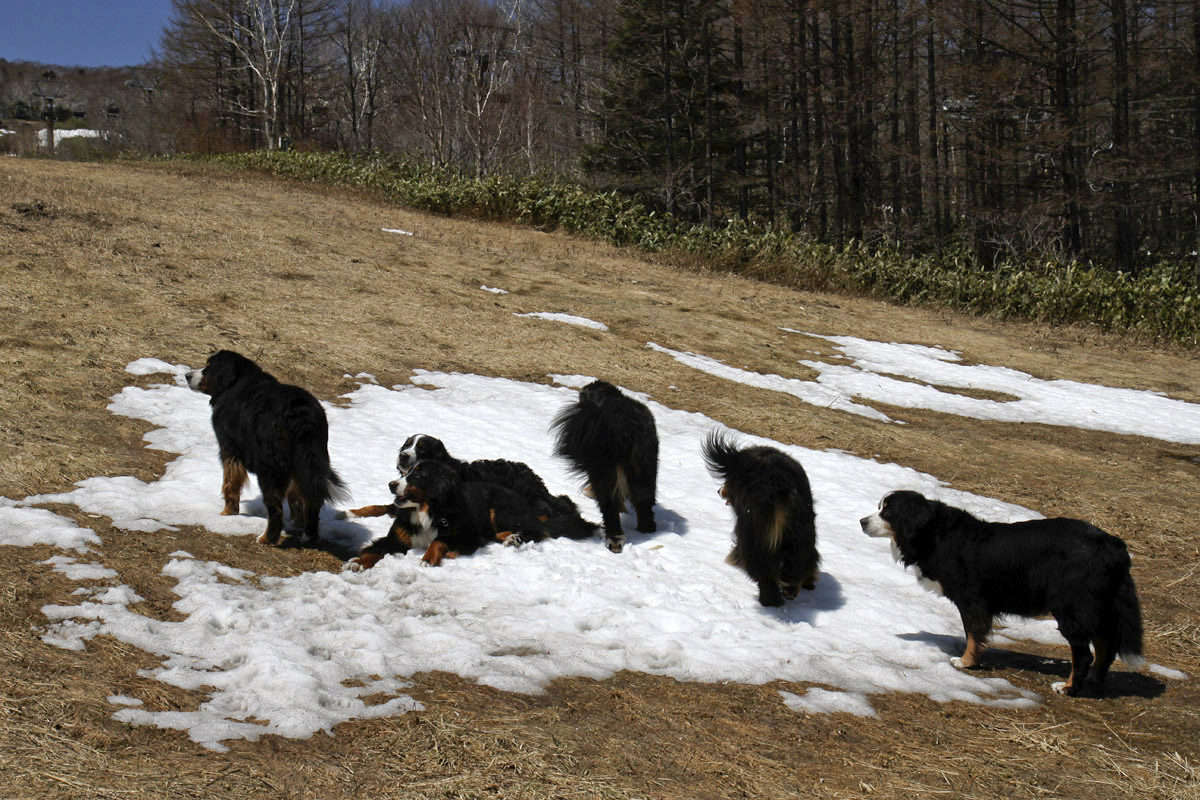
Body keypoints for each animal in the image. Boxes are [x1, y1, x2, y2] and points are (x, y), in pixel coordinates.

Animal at [187, 347, 348, 546]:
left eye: (208, 367)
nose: (187, 375)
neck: (238, 382)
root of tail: (300, 411)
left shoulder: (229, 449)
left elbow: (230, 484)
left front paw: (227, 513)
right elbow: (295, 497)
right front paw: (296, 522)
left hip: (269, 470)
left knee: (276, 509)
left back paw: (266, 538)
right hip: (310, 461)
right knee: (312, 500)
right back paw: (308, 536)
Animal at [549, 381, 657, 554]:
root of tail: (628, 427)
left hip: (604, 469)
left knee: (609, 507)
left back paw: (614, 540)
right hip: (644, 469)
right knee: (644, 502)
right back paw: (646, 530)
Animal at [700, 431, 820, 606]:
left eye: (727, 481)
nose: (719, 491)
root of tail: (777, 482)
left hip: (754, 535)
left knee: (764, 572)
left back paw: (770, 599)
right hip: (801, 533)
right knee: (800, 561)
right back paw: (792, 588)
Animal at [864, 489, 1142, 695]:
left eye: (887, 511)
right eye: (879, 507)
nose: (862, 521)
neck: (934, 534)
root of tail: (1114, 546)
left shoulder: (972, 601)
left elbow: (973, 634)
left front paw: (966, 662)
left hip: (1071, 608)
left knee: (1084, 653)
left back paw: (1068, 687)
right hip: (1097, 607)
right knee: (1106, 643)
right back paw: (1094, 679)